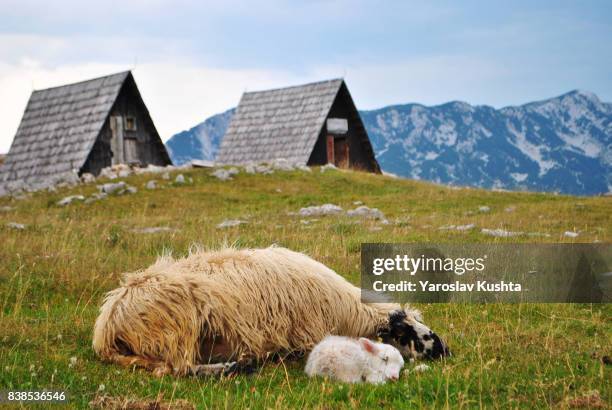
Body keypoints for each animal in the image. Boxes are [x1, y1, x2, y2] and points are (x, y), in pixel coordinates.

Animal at [94, 245, 450, 376]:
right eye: (406, 333)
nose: (445, 350)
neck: (347, 311)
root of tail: (106, 326)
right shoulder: (308, 334)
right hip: (177, 323)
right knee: (179, 368)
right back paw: (236, 366)